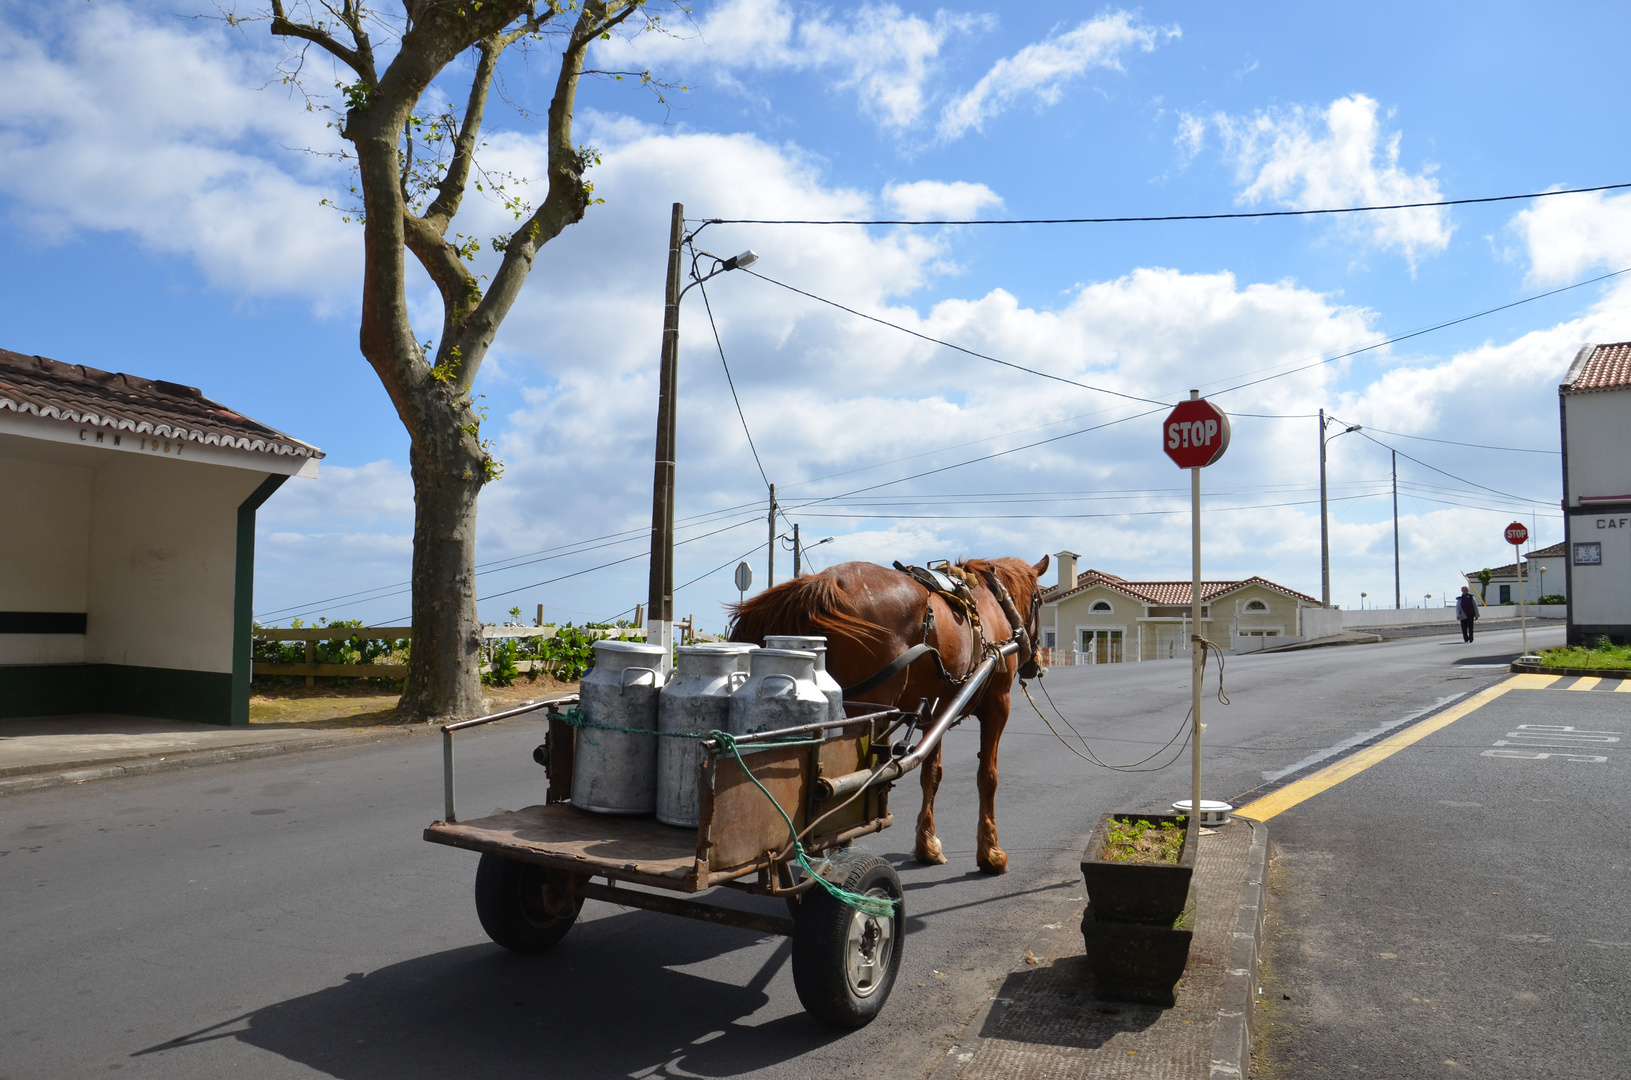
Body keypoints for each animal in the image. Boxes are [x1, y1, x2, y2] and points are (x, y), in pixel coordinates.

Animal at [733, 557, 1050, 880]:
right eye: (1040, 599)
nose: (1036, 662)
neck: (992, 602)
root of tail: (822, 584)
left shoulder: (934, 714)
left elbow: (931, 775)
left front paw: (927, 845)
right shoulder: (998, 706)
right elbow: (988, 776)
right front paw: (990, 853)